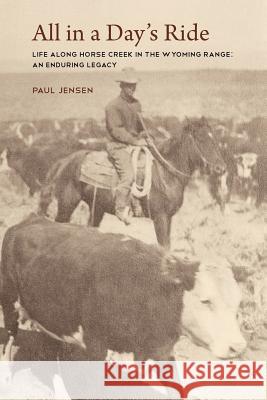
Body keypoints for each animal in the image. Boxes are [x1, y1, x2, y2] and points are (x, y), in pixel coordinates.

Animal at [38, 117, 226, 248]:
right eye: (201, 139)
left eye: (214, 139)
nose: (221, 168)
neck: (165, 173)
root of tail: (64, 161)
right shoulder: (160, 218)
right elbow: (164, 247)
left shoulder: (169, 218)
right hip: (67, 204)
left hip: (96, 208)